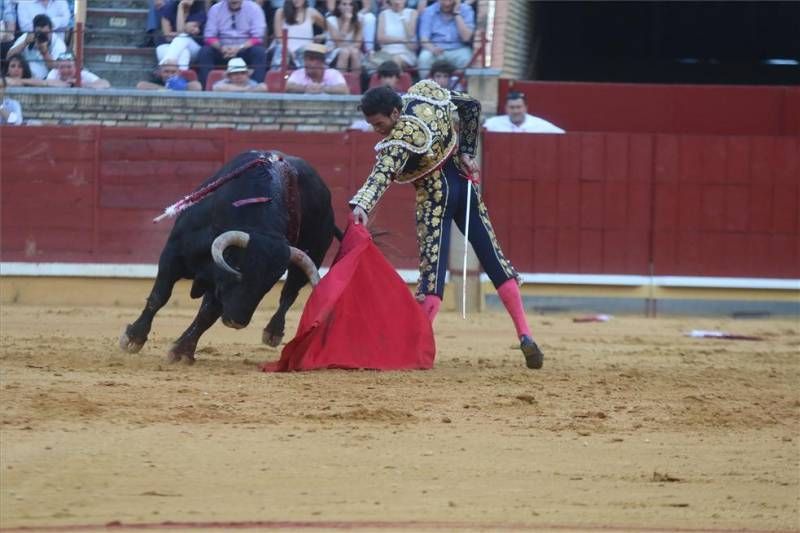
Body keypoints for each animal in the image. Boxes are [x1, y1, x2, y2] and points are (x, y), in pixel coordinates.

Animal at [120, 152, 340, 364]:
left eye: (270, 282)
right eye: (237, 265)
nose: (237, 321)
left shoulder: (220, 283)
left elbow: (207, 314)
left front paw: (182, 351)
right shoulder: (173, 255)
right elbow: (159, 296)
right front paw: (133, 338)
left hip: (313, 256)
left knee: (289, 294)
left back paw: (273, 332)